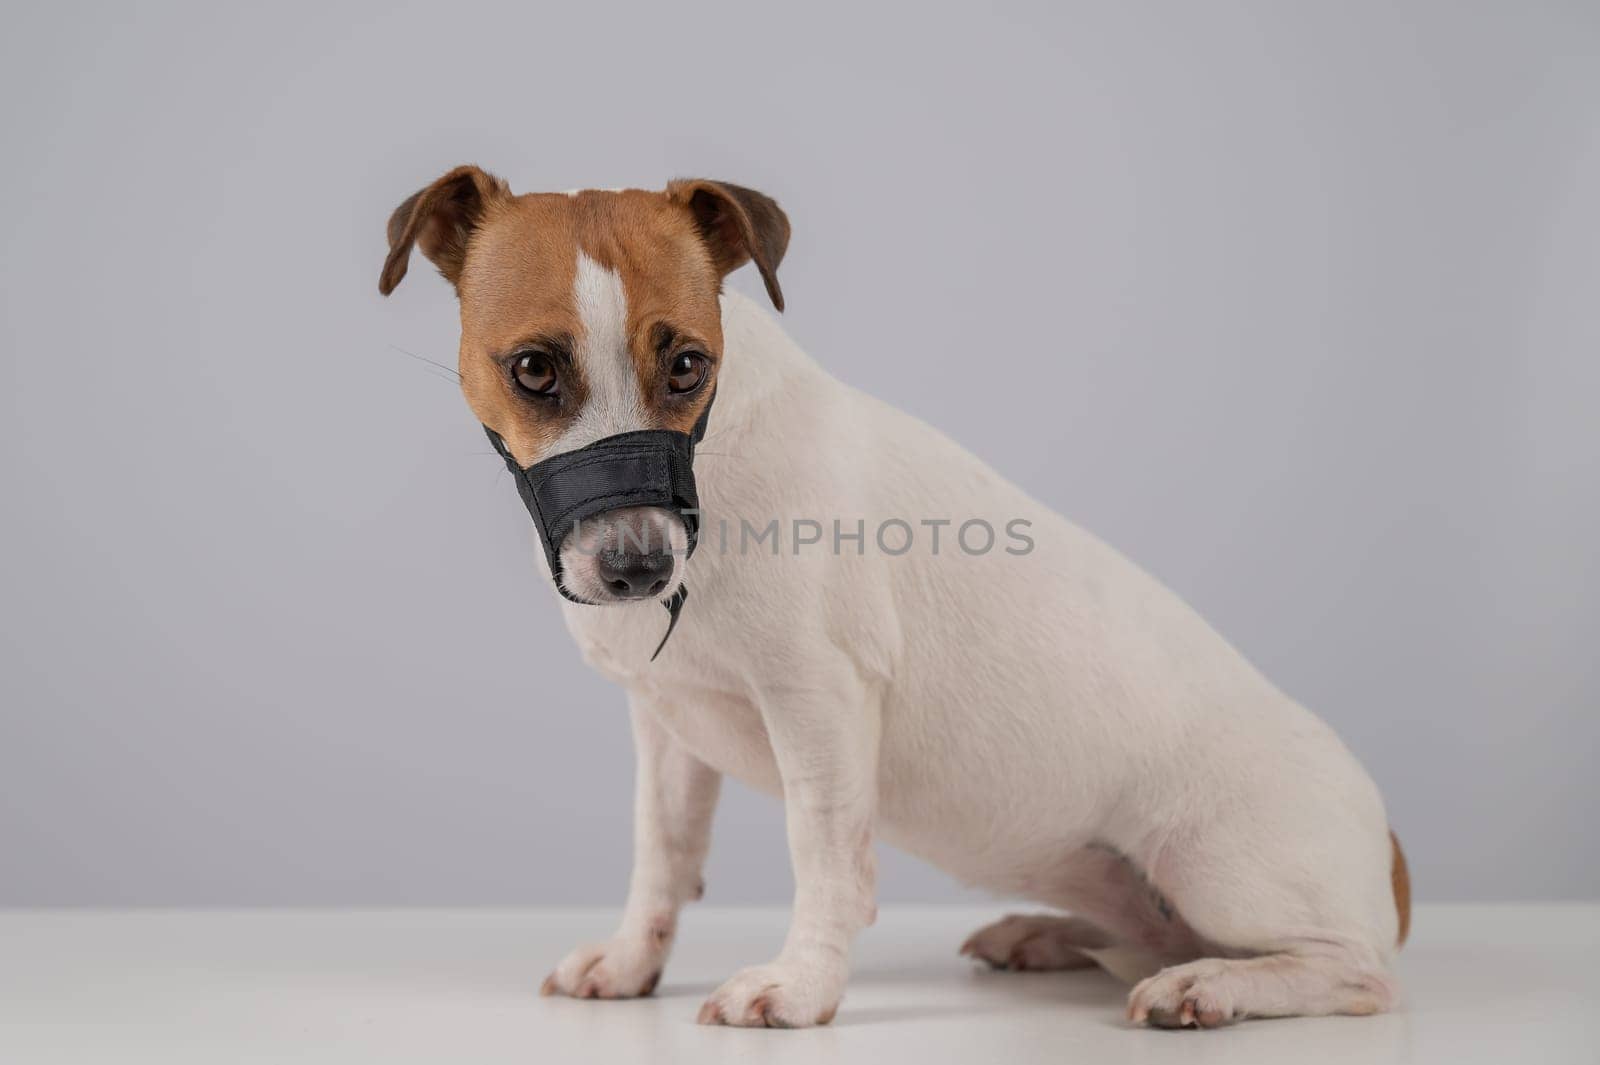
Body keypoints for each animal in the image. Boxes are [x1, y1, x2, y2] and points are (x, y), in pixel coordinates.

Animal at [380, 167, 1408, 1029]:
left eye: (688, 365)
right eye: (533, 369)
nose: (639, 568)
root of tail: (1391, 859)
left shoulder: (817, 701)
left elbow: (825, 856)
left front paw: (800, 986)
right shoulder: (669, 723)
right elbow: (662, 854)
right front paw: (634, 962)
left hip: (1212, 860)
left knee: (1348, 970)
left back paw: (1211, 985)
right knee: (1153, 932)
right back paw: (1048, 934)